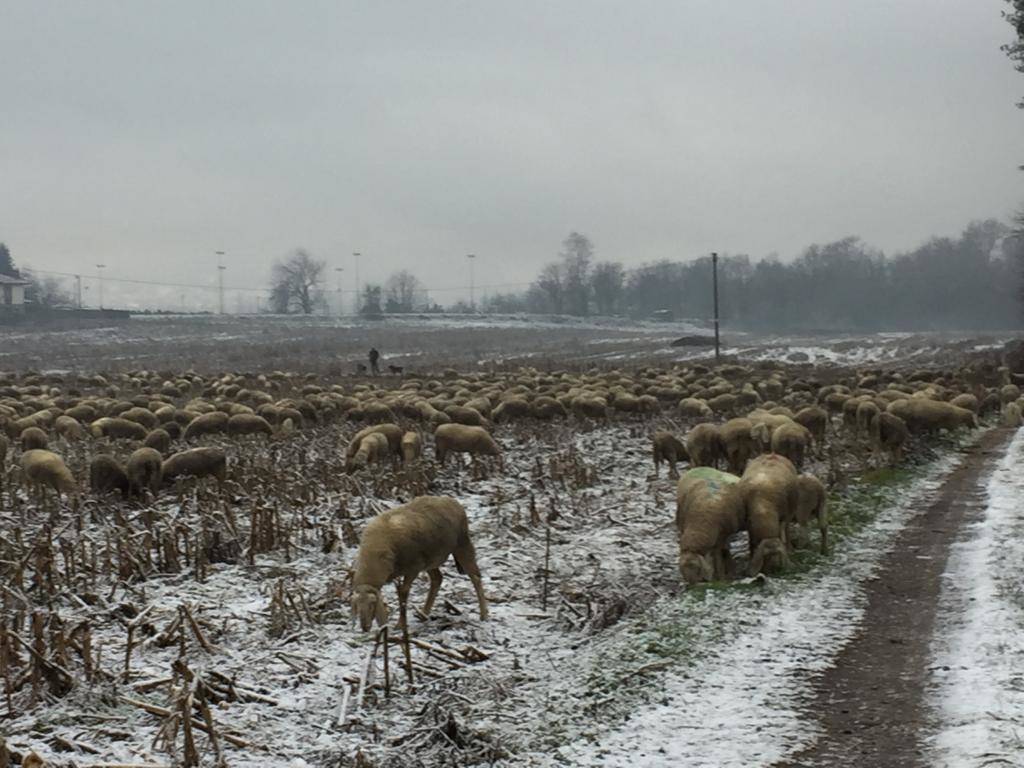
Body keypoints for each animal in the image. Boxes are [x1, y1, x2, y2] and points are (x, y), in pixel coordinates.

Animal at [350, 496, 488, 631]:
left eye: (372, 604)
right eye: (356, 605)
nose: (365, 627)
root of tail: (451, 500)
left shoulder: (413, 569)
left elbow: (403, 593)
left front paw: (400, 625)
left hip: (462, 544)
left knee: (475, 577)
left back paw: (484, 615)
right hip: (430, 560)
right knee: (437, 579)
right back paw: (424, 614)